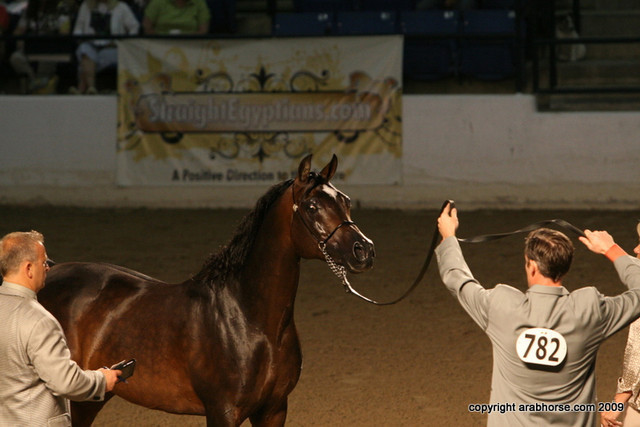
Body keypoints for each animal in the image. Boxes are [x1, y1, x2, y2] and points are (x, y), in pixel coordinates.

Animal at [38, 154, 375, 426]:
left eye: (345, 201)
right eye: (312, 206)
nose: (364, 251)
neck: (251, 320)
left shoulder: (274, 409)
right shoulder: (222, 411)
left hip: (89, 398)